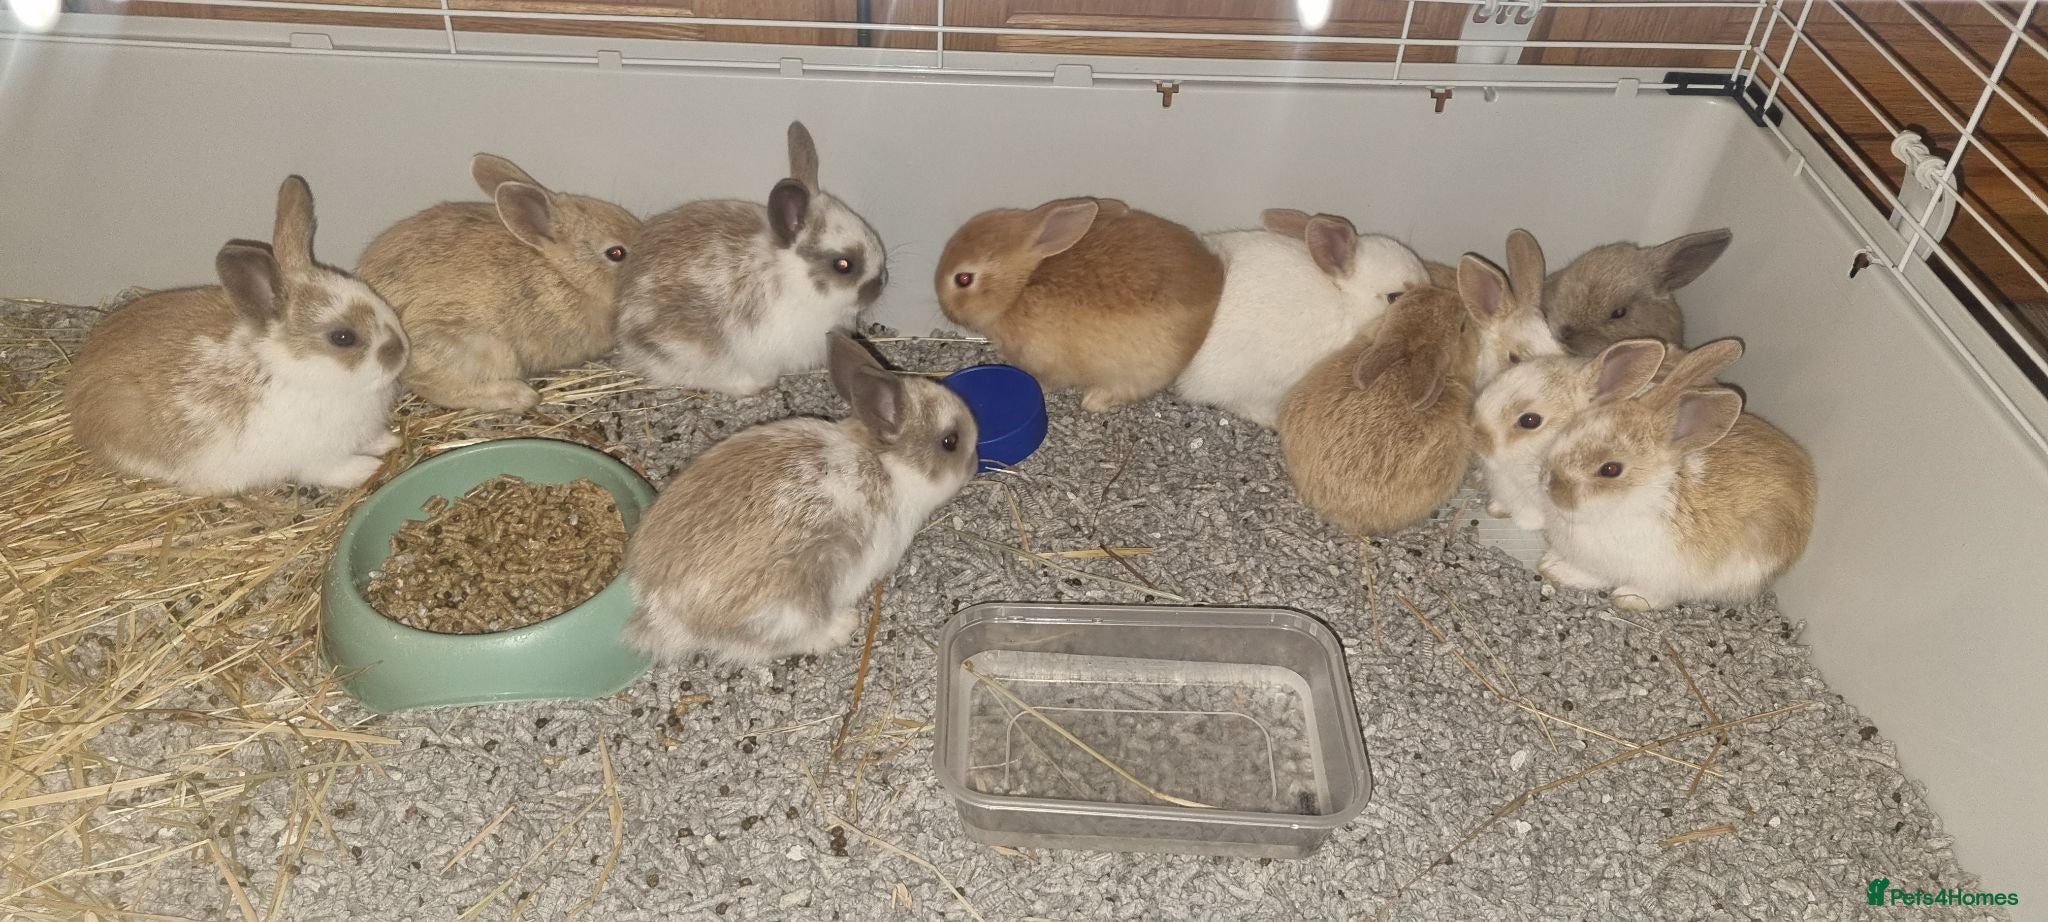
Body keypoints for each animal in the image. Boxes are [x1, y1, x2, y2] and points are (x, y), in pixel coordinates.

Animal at [67, 176, 408, 495]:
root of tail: (78, 397)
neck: (293, 370)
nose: (401, 351)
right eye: (343, 338)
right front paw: (368, 469)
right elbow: (335, 470)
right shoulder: (319, 459)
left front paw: (388, 442)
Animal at [624, 333, 979, 664]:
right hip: (789, 608)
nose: (974, 465)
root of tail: (664, 613)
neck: (888, 464)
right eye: (950, 441)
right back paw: (841, 626)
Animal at [935, 196, 1224, 412]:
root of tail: (1215, 280)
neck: (1019, 288)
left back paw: (1093, 401)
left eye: (963, 279)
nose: (945, 308)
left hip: (1138, 369)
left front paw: (1040, 387)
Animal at [1537, 341, 1816, 611]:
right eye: (1567, 431)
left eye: (1610, 469)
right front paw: (1552, 567)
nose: (1549, 484)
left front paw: (1629, 599)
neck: (1640, 493)